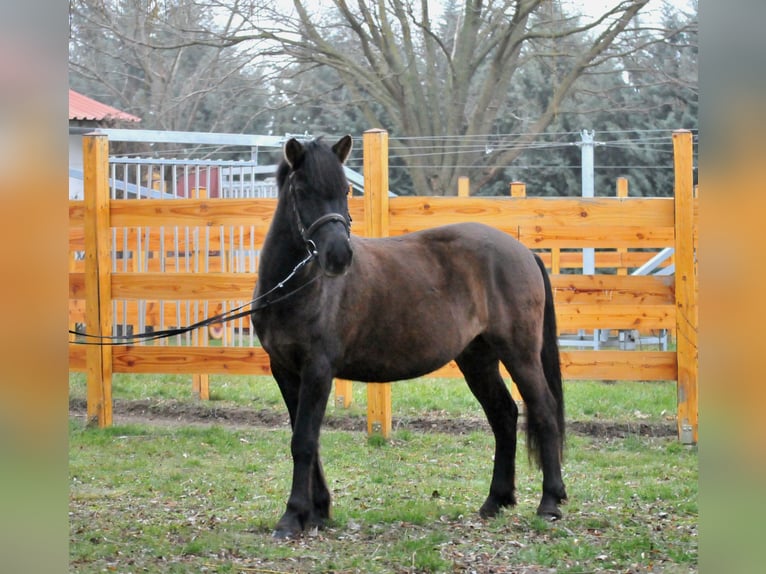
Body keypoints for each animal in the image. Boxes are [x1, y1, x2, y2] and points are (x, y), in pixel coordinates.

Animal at [249, 135, 568, 540]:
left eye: (345, 190)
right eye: (302, 190)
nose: (339, 256)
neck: (297, 286)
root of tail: (524, 251)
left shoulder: (318, 370)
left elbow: (304, 441)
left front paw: (293, 517)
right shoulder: (286, 371)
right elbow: (306, 438)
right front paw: (317, 511)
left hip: (520, 354)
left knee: (542, 410)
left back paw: (550, 503)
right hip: (477, 358)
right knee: (504, 415)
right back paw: (495, 501)